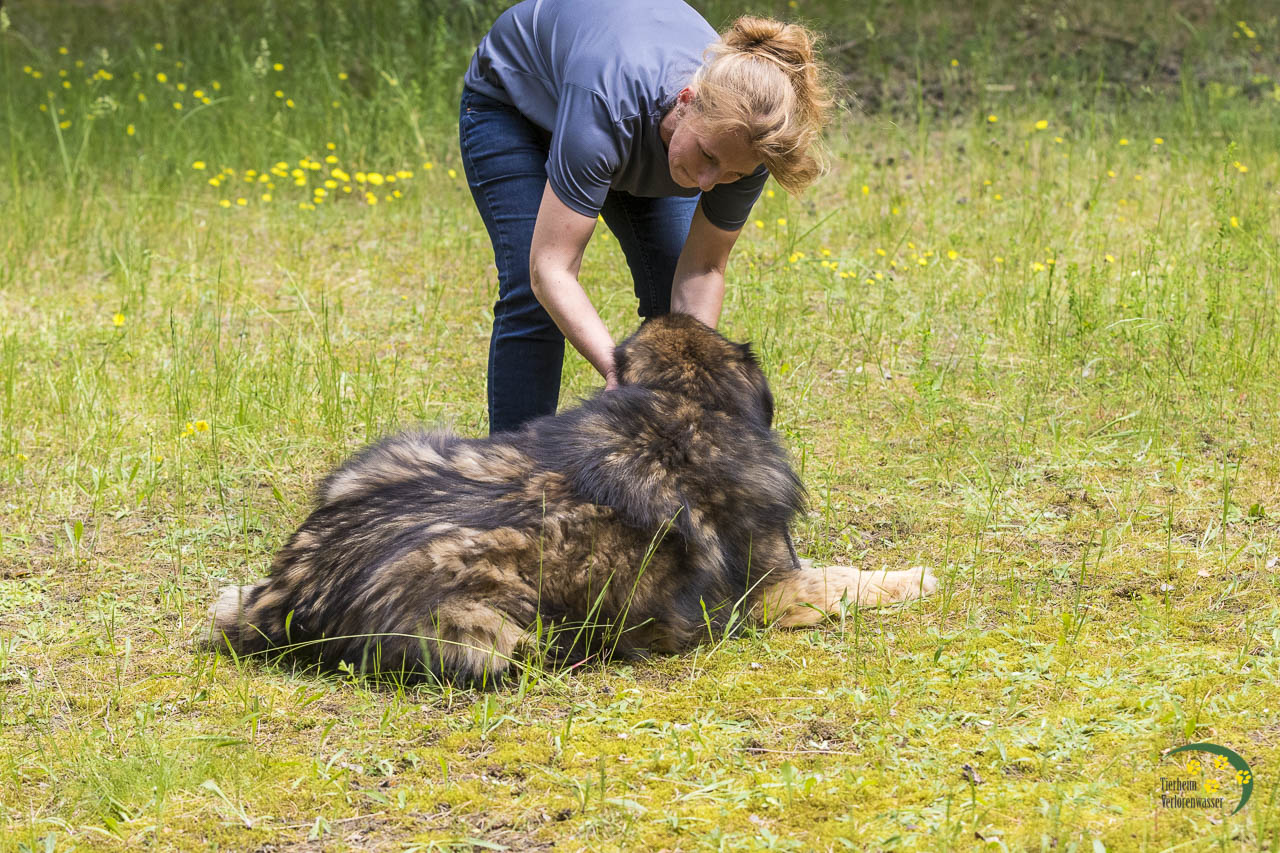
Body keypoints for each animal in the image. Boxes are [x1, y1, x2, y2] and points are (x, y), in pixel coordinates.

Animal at [204, 314, 936, 684]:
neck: (682, 400)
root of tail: (289, 594)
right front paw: (920, 578)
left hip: (388, 454)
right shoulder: (776, 590)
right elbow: (852, 579)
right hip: (487, 628)